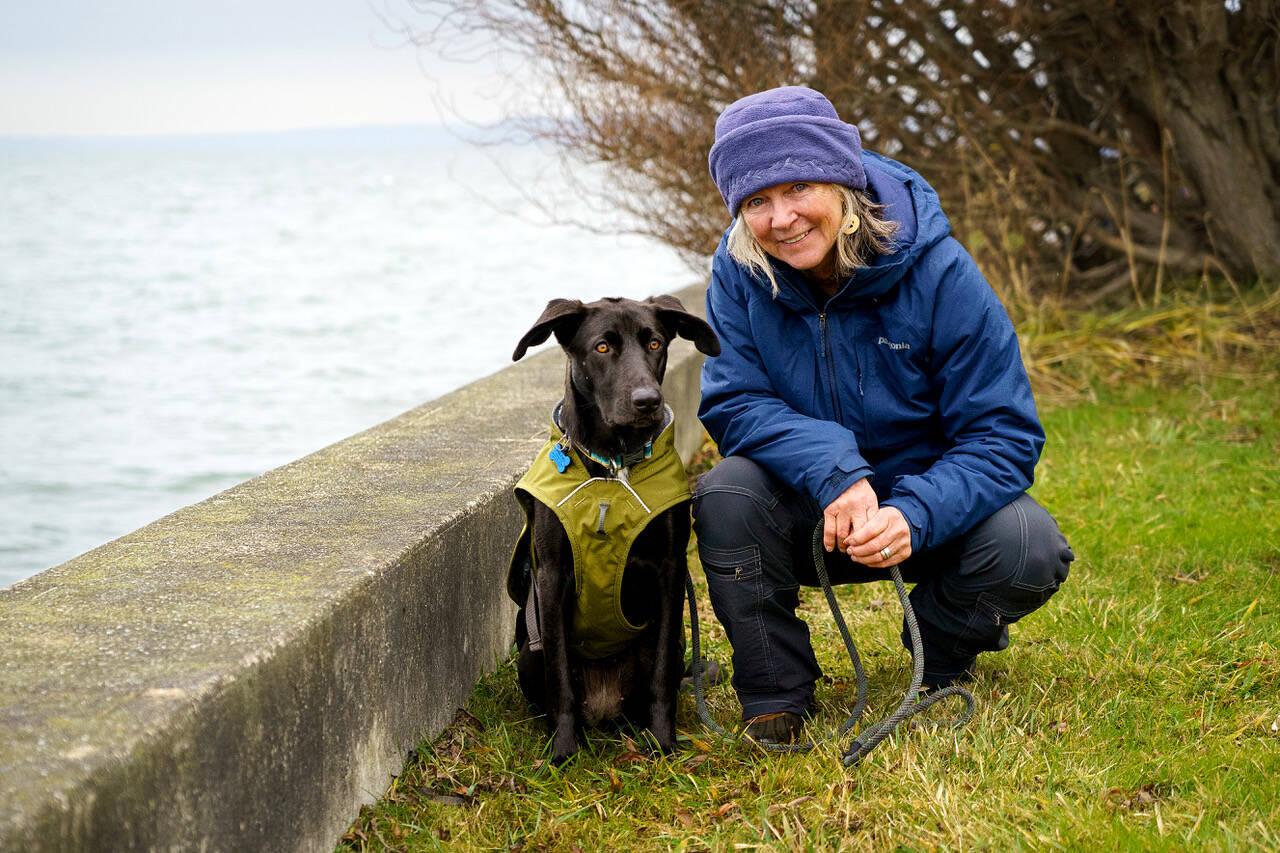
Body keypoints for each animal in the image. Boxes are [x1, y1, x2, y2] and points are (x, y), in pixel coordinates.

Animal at [504, 292, 721, 758]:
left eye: (655, 343)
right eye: (602, 347)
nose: (648, 401)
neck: (611, 470)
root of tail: (605, 706)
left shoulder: (669, 571)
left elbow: (661, 677)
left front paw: (663, 743)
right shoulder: (551, 576)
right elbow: (560, 680)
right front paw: (563, 752)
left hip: (674, 646)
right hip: (528, 648)